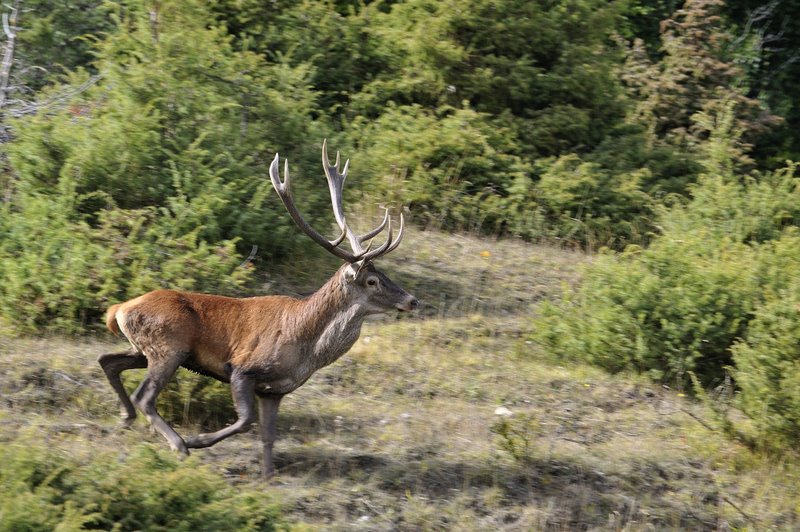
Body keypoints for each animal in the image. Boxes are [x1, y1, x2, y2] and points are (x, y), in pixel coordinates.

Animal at [100, 140, 418, 478]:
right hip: (169, 346)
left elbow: (268, 435)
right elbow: (245, 421)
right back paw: (178, 444)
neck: (305, 348)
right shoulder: (242, 368)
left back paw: (125, 417)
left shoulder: (274, 390)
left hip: (144, 349)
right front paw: (198, 440)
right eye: (372, 281)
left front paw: (267, 476)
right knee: (145, 395)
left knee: (108, 361)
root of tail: (118, 308)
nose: (413, 300)